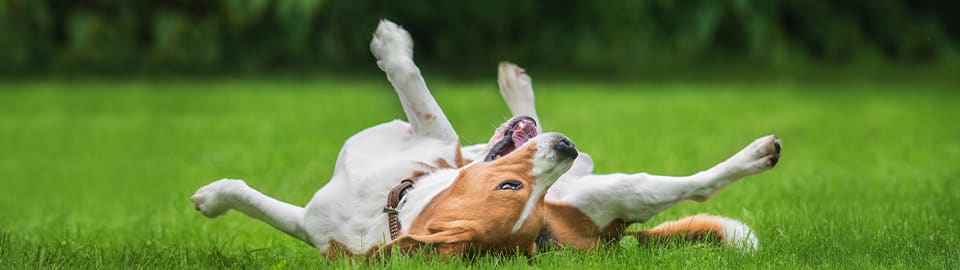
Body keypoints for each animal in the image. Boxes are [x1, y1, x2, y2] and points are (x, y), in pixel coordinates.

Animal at [189, 19, 780, 258]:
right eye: (511, 191)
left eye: (529, 200)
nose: (560, 151)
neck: (390, 206)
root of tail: (612, 238)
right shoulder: (312, 222)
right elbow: (251, 198)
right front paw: (210, 198)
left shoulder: (436, 133)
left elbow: (413, 86)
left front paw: (391, 46)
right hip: (589, 175)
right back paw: (521, 97)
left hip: (620, 189)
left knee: (696, 185)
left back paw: (756, 155)